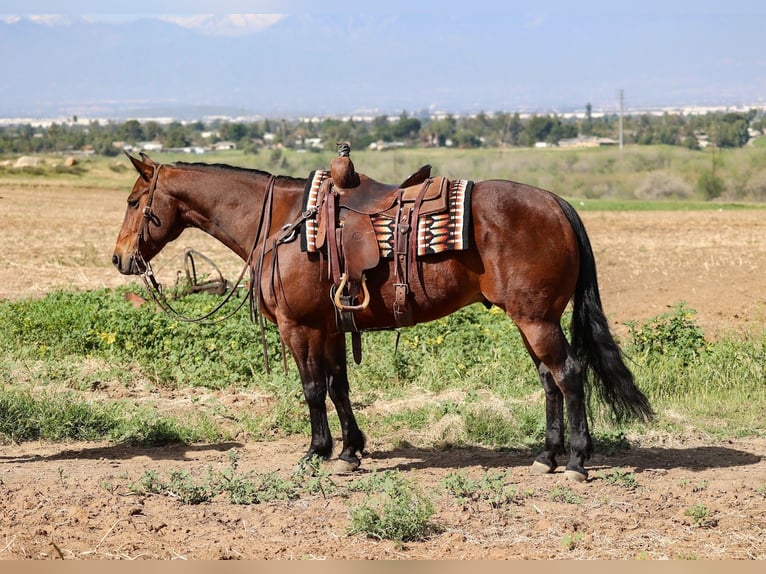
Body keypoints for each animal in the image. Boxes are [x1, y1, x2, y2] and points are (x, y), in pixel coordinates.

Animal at [112, 153, 653, 481]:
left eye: (135, 201)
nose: (120, 258)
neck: (282, 225)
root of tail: (558, 204)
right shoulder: (330, 327)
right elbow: (339, 387)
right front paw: (350, 451)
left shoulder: (299, 328)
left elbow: (312, 389)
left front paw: (316, 451)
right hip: (531, 320)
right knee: (549, 379)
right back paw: (546, 456)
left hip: (537, 320)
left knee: (569, 374)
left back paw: (578, 460)